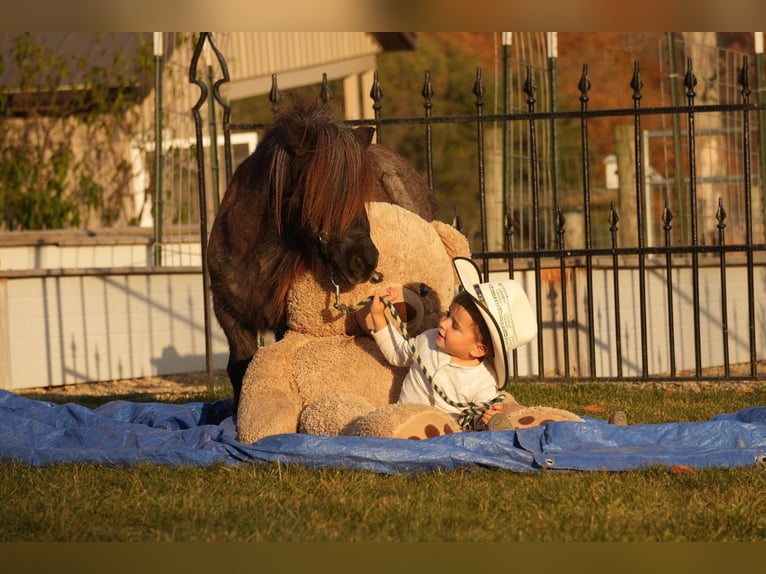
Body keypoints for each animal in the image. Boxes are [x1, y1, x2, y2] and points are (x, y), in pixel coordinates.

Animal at [207, 95, 436, 410]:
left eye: (362, 196)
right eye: (317, 193)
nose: (365, 261)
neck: (253, 259)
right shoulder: (230, 317)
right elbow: (240, 369)